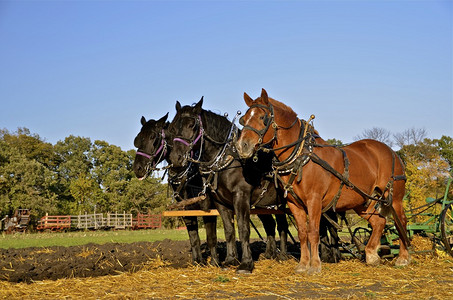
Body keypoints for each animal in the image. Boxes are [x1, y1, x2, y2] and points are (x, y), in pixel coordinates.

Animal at [132, 114, 220, 264]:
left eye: (153, 137)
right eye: (138, 138)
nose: (138, 168)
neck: (189, 174)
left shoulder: (208, 208)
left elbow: (211, 238)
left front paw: (215, 263)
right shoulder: (186, 210)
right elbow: (194, 239)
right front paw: (197, 262)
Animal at [168, 97, 288, 274]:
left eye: (192, 125)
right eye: (173, 127)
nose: (176, 158)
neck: (228, 159)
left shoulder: (241, 197)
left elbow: (243, 229)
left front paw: (246, 263)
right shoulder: (221, 203)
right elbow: (229, 230)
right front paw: (230, 260)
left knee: (285, 225)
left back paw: (285, 255)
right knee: (273, 224)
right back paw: (271, 254)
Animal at [237, 88, 410, 274]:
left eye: (262, 117)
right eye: (244, 119)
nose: (242, 146)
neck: (301, 156)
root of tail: (391, 151)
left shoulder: (314, 200)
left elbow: (313, 231)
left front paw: (314, 265)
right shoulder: (294, 203)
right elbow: (302, 233)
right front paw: (303, 264)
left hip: (394, 198)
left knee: (401, 222)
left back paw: (403, 257)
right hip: (364, 200)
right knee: (379, 222)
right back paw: (371, 255)